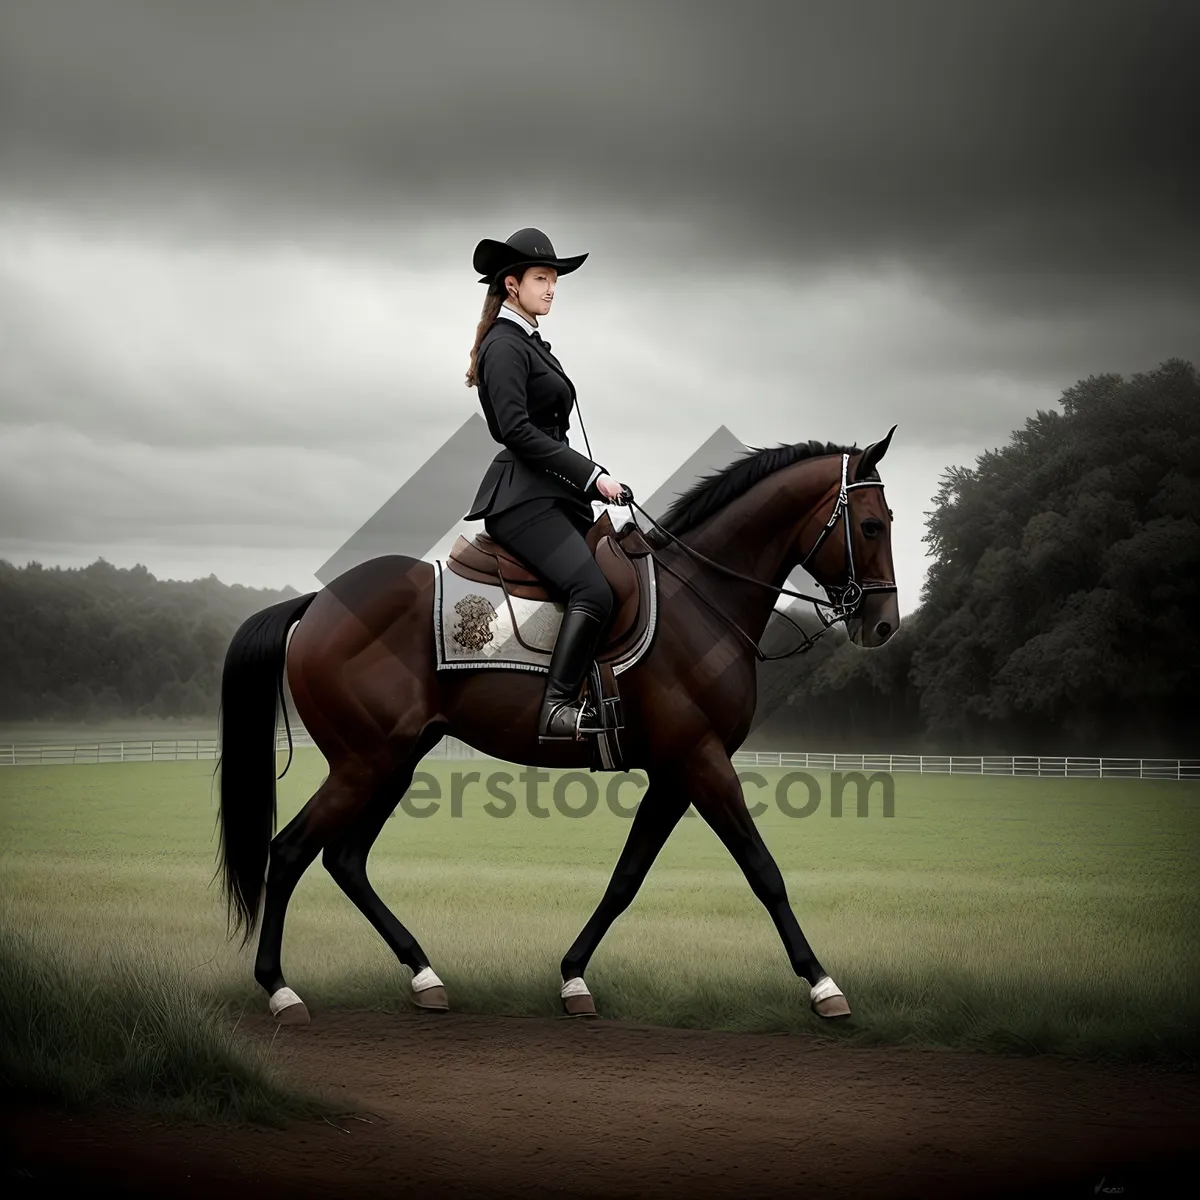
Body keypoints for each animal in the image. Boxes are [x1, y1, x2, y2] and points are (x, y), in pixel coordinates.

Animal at [216, 429, 897, 1022]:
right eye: (871, 525)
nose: (884, 625)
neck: (701, 596)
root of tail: (319, 604)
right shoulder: (701, 761)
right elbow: (764, 872)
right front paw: (822, 985)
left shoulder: (675, 773)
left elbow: (626, 879)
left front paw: (573, 977)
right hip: (365, 762)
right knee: (291, 851)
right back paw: (280, 990)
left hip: (395, 759)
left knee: (345, 859)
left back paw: (423, 975)